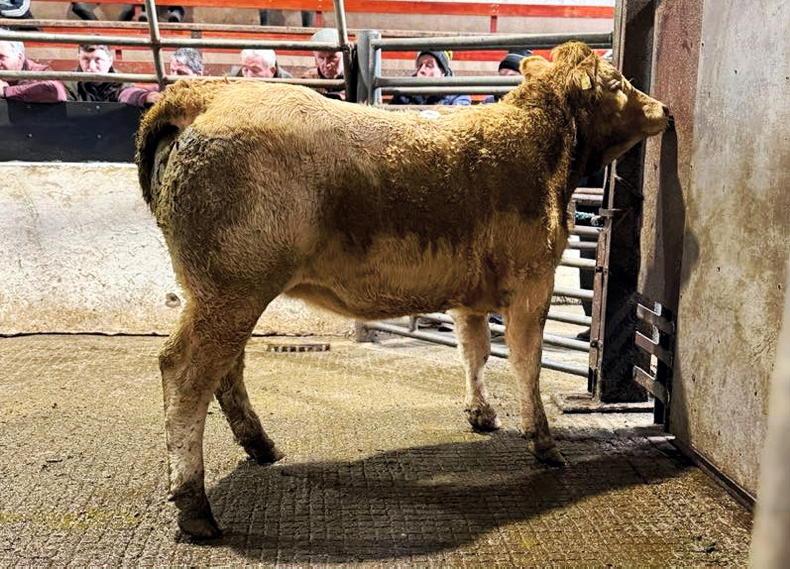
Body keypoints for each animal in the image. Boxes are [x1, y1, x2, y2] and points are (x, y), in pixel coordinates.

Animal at [136, 41, 669, 538]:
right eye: (618, 82)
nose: (664, 108)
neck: (541, 145)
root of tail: (209, 93)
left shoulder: (470, 296)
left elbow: (474, 351)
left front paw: (481, 415)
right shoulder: (532, 283)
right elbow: (525, 364)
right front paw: (543, 442)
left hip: (228, 293)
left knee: (228, 369)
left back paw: (261, 447)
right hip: (231, 290)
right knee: (185, 373)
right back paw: (195, 507)